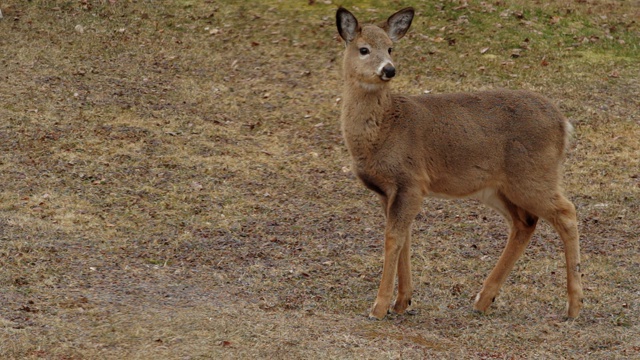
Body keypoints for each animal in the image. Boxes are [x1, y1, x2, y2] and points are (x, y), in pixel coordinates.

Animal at [336, 7, 584, 320]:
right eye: (364, 49)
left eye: (391, 48)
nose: (389, 69)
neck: (384, 130)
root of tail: (564, 125)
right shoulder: (388, 191)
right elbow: (404, 239)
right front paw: (402, 301)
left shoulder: (411, 181)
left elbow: (393, 239)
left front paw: (379, 307)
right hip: (499, 187)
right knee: (525, 222)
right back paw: (483, 299)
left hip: (534, 175)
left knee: (566, 212)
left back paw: (574, 305)